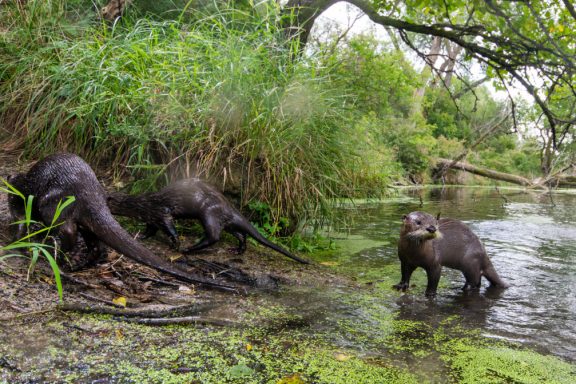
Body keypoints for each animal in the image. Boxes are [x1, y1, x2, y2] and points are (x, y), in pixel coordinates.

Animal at [5, 154, 235, 292]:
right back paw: (80, 264)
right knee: (97, 245)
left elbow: (22, 217)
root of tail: (89, 190)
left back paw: (63, 258)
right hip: (88, 220)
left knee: (68, 228)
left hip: (51, 201)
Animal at [105, 178, 308, 264]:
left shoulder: (161, 212)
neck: (142, 204)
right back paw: (237, 250)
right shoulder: (151, 218)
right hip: (225, 221)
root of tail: (227, 205)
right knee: (240, 234)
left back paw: (190, 249)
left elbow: (170, 227)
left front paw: (176, 243)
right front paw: (141, 237)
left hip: (209, 213)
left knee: (214, 236)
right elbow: (150, 230)